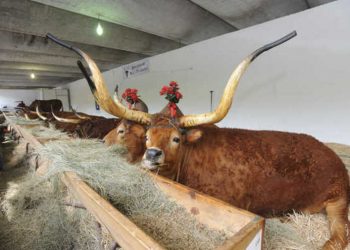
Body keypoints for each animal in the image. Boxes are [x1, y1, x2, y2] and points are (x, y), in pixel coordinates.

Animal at [50, 31, 350, 250]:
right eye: (147, 136)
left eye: (176, 139)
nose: (152, 155)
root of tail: (329, 153)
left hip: (337, 201)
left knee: (339, 235)